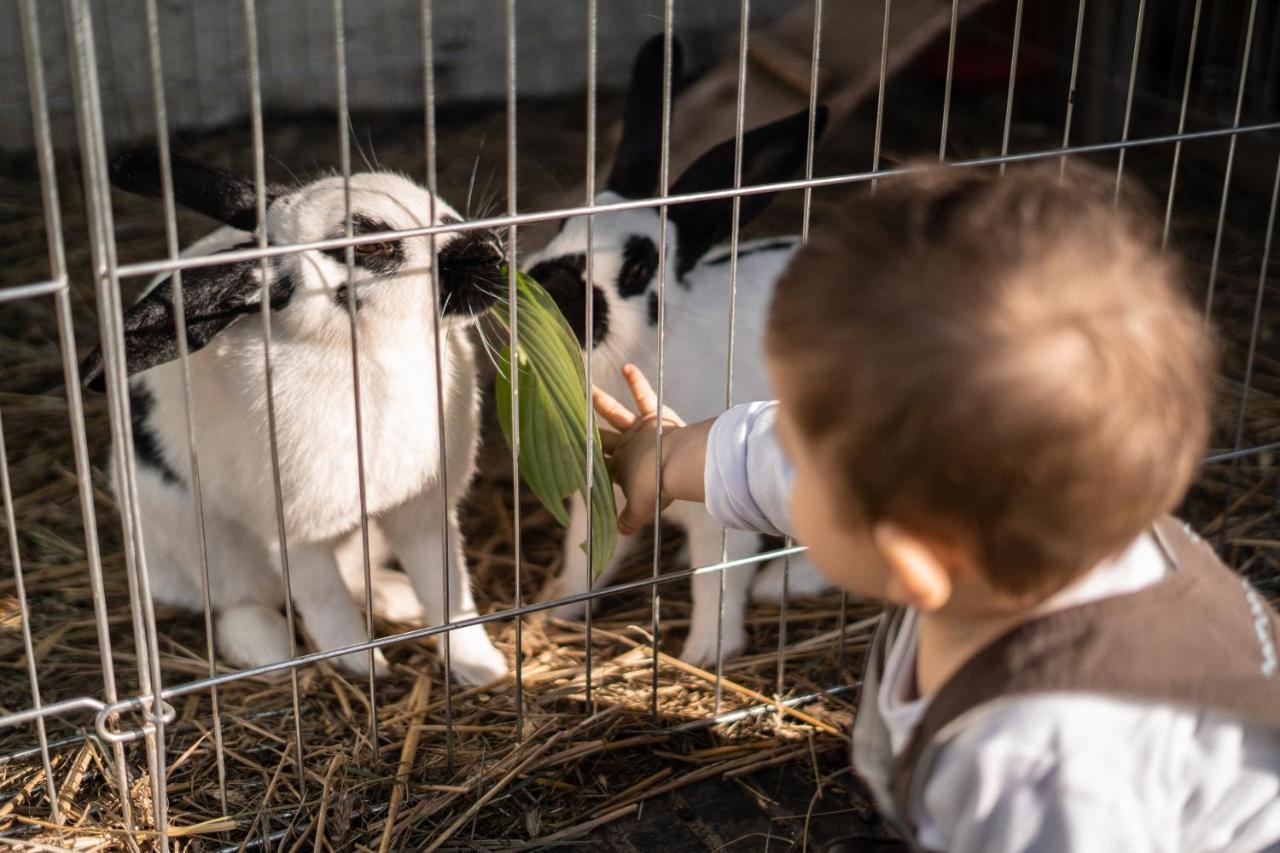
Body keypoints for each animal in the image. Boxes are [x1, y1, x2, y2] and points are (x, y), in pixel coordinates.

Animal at [77, 151, 509, 686]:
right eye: (374, 245)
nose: (492, 251)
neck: (372, 351)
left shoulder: (423, 512)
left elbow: (447, 589)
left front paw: (482, 668)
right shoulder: (296, 530)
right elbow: (323, 598)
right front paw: (363, 665)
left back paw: (395, 598)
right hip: (208, 547)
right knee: (236, 604)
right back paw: (270, 652)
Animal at [524, 36, 834, 666]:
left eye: (638, 268)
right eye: (564, 224)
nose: (551, 285)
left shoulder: (720, 512)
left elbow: (717, 581)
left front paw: (705, 655)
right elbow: (585, 553)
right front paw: (557, 610)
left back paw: (780, 586)